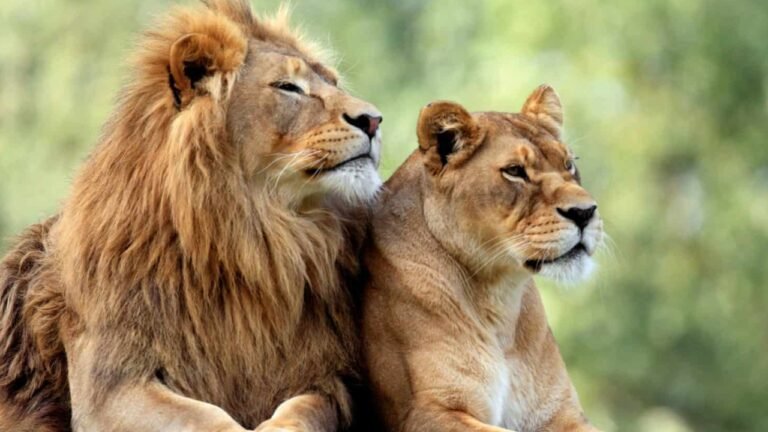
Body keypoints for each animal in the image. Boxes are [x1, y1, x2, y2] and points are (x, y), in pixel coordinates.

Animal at [0, 1, 384, 431]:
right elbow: (207, 418)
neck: (253, 241)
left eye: (333, 82)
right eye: (288, 87)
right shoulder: (108, 387)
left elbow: (303, 410)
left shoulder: (327, 379)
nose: (374, 119)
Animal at [361, 86, 604, 432]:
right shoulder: (425, 412)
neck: (499, 299)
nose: (585, 213)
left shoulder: (561, 412)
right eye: (515, 171)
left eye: (569, 164)